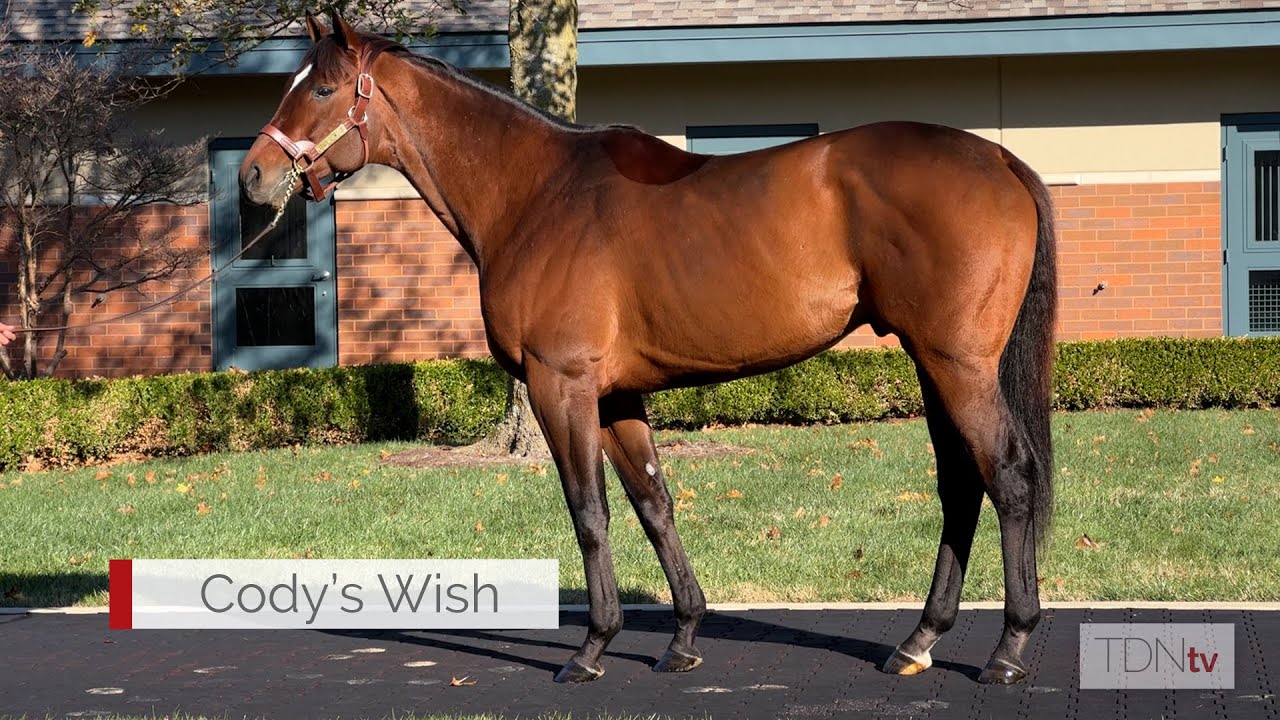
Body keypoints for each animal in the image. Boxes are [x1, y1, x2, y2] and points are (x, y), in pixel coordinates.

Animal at [240, 11, 1058, 686]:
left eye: (322, 89)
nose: (253, 174)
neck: (536, 195)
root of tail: (1001, 160)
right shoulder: (616, 396)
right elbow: (653, 501)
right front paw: (684, 637)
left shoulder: (561, 385)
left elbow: (589, 511)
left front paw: (591, 648)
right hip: (932, 364)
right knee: (961, 484)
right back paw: (919, 640)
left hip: (958, 366)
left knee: (1009, 475)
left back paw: (1009, 649)